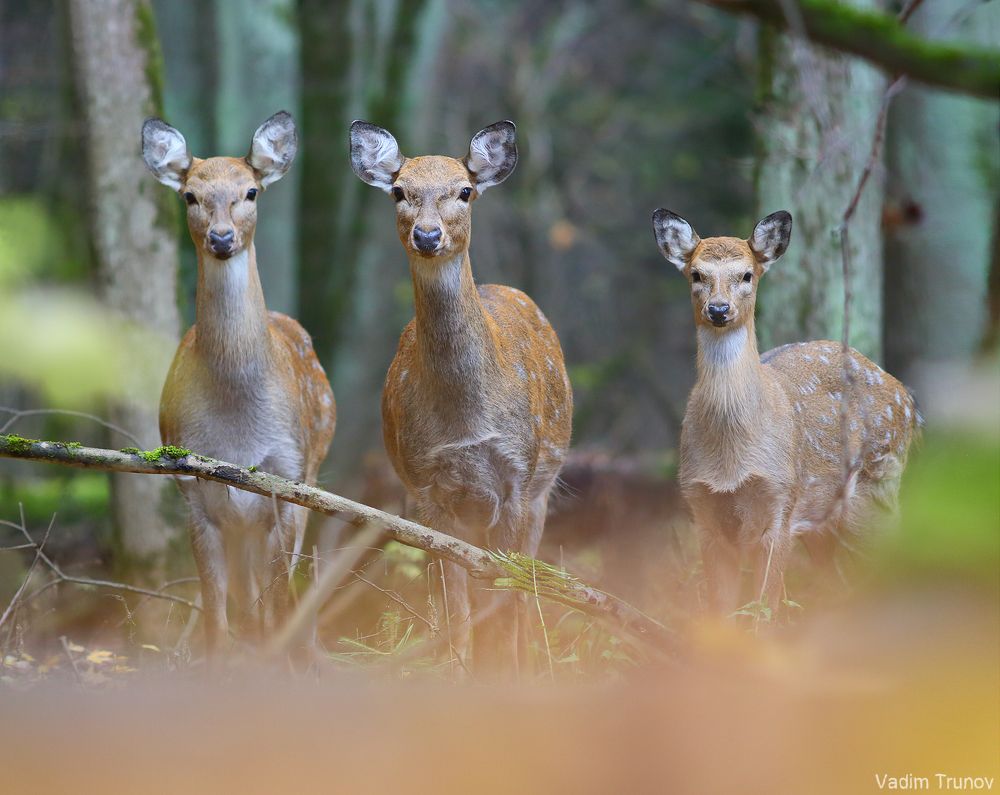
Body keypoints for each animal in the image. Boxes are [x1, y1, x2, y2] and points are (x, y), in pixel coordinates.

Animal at [141, 111, 336, 660]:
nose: (223, 238)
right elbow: (214, 611)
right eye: (189, 194)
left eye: (251, 191)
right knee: (245, 598)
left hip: (310, 477)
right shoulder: (191, 483)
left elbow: (279, 601)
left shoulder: (287, 476)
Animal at [349, 119, 573, 679]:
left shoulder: (517, 476)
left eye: (465, 190)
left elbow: (508, 596)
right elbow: (453, 605)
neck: (466, 421)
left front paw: (509, 674)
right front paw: (456, 673)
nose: (428, 235)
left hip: (544, 490)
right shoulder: (426, 485)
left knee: (526, 590)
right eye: (399, 190)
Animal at [652, 209, 919, 616]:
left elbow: (765, 610)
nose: (719, 309)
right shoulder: (703, 511)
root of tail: (907, 397)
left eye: (747, 274)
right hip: (825, 521)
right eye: (696, 274)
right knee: (839, 584)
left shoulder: (781, 503)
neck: (732, 460)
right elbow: (721, 613)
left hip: (877, 486)